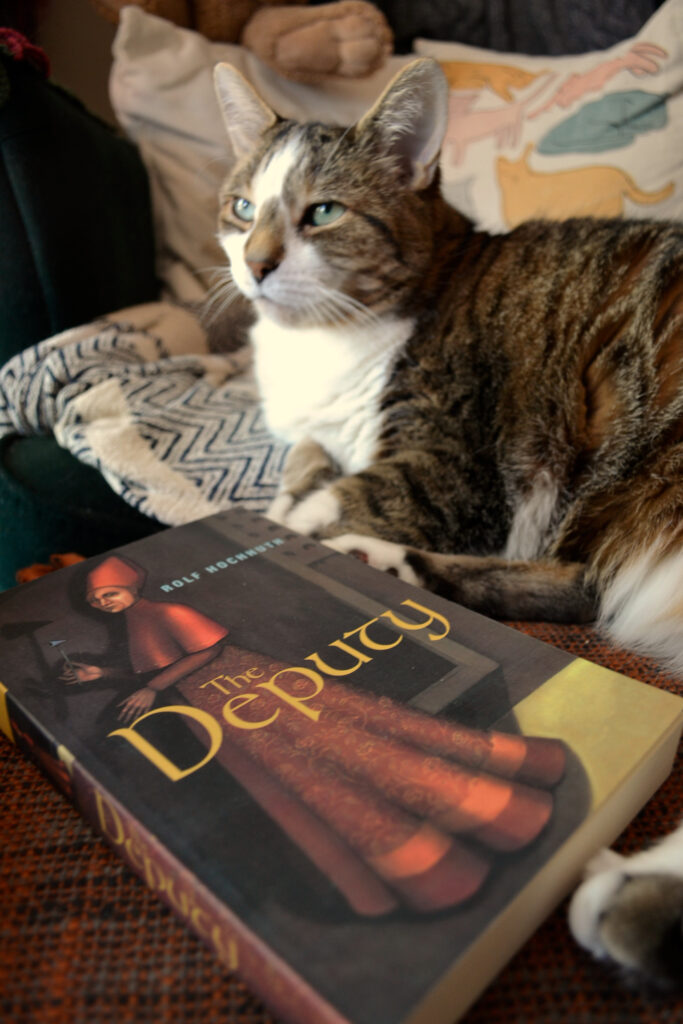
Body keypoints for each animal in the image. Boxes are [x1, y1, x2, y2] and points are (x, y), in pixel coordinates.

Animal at [210, 59, 679, 987]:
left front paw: (275, 526)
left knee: (586, 584)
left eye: (323, 213)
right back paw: (390, 569)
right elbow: (300, 472)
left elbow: (315, 504)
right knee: (584, 583)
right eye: (243, 207)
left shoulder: (450, 472)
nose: (255, 264)